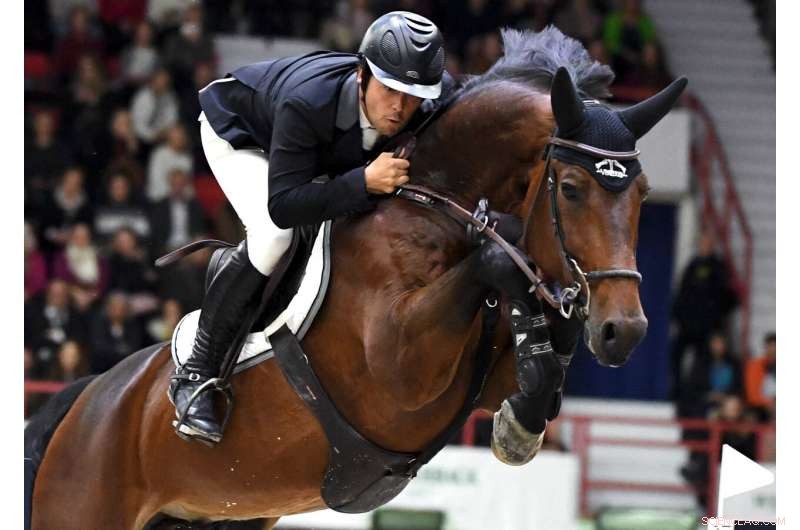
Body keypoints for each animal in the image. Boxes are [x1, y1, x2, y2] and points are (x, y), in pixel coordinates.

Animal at [25, 27, 684, 529]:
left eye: (644, 196)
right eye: (571, 190)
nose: (624, 331)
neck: (434, 203)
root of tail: (89, 397)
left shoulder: (484, 378)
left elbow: (538, 366)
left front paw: (518, 426)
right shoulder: (400, 364)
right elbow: (497, 267)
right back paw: (196, 399)